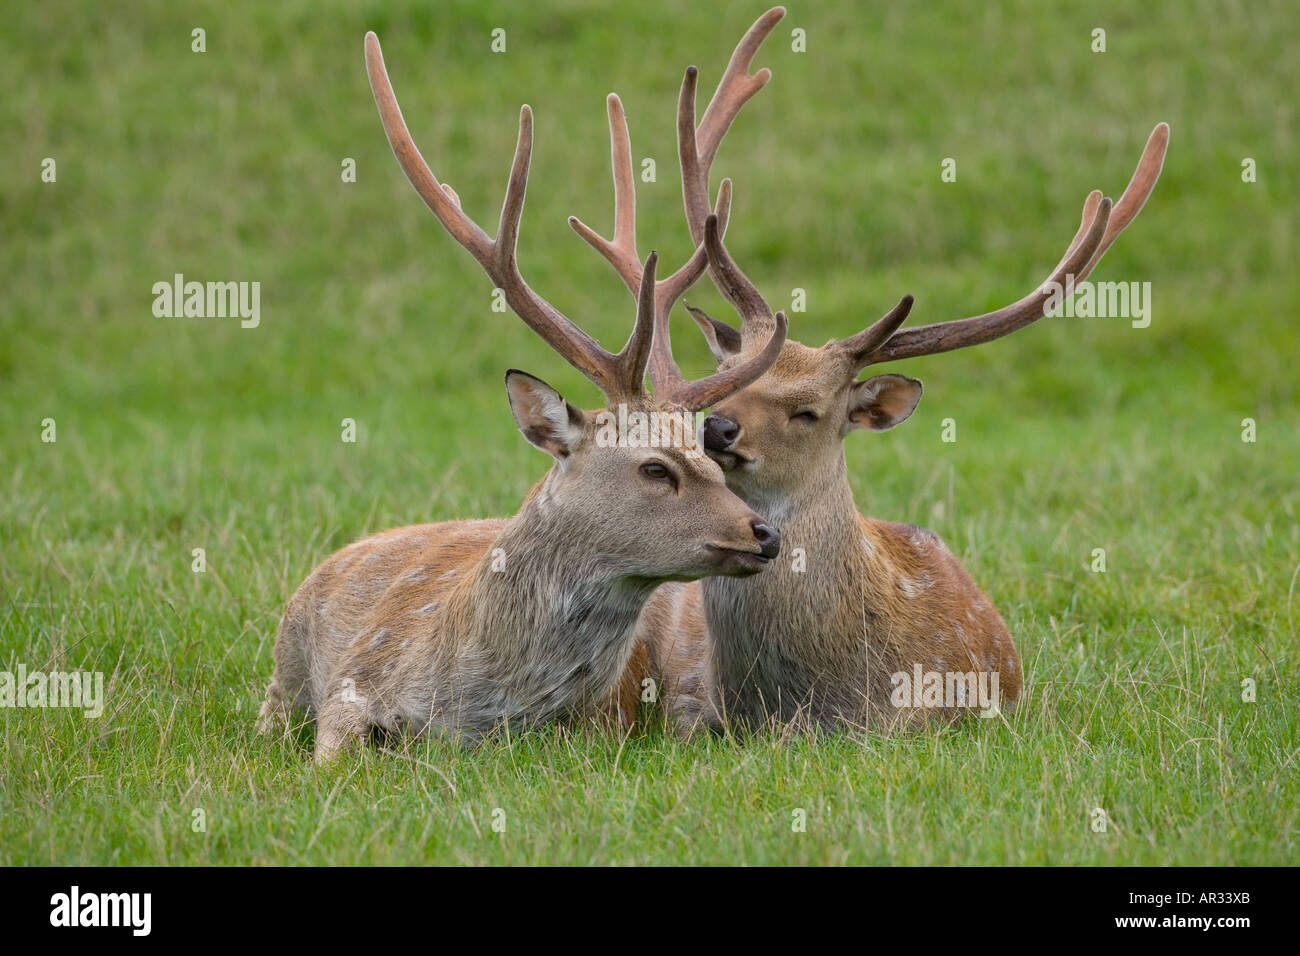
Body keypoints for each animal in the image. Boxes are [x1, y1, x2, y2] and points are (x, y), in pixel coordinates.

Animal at [255, 29, 791, 762]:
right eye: (656, 468)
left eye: (710, 457)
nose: (764, 533)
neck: (479, 709)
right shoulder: (354, 682)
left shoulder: (603, 726)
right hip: (282, 670)